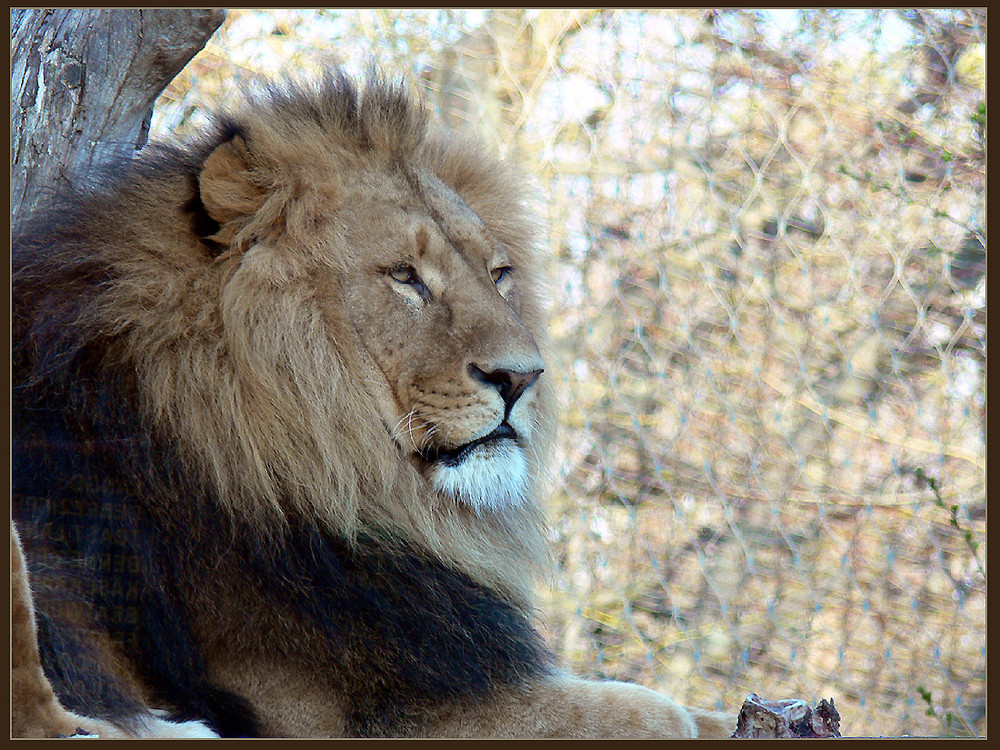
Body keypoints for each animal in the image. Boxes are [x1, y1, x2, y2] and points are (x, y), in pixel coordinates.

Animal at [11, 72, 736, 740]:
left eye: (498, 274)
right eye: (405, 277)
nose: (522, 378)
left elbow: (704, 712)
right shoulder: (334, 713)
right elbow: (659, 713)